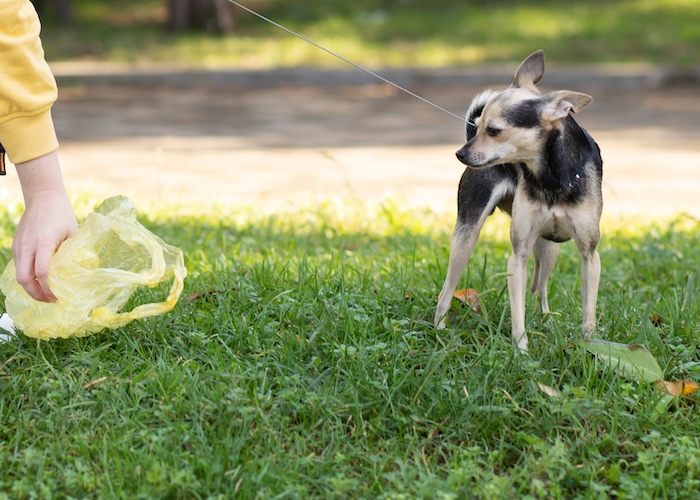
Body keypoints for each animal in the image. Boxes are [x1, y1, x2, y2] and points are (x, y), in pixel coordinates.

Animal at [432, 48, 600, 350]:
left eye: (493, 130)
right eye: (478, 126)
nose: (460, 154)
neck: (551, 179)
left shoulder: (590, 255)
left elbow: (588, 313)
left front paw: (590, 347)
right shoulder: (518, 255)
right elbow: (517, 311)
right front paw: (521, 349)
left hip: (549, 248)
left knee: (539, 287)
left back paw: (545, 319)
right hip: (466, 235)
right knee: (447, 290)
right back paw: (440, 331)